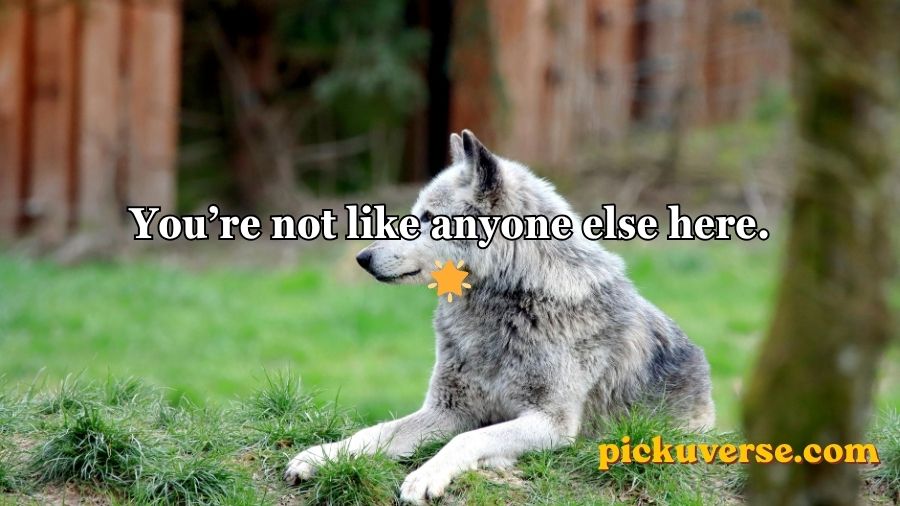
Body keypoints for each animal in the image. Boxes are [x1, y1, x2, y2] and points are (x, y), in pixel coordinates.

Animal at [285, 130, 715, 504]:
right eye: (413, 214)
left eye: (428, 217)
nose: (362, 257)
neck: (508, 302)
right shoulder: (448, 410)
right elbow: (374, 432)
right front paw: (321, 456)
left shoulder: (551, 424)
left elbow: (467, 439)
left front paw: (426, 475)